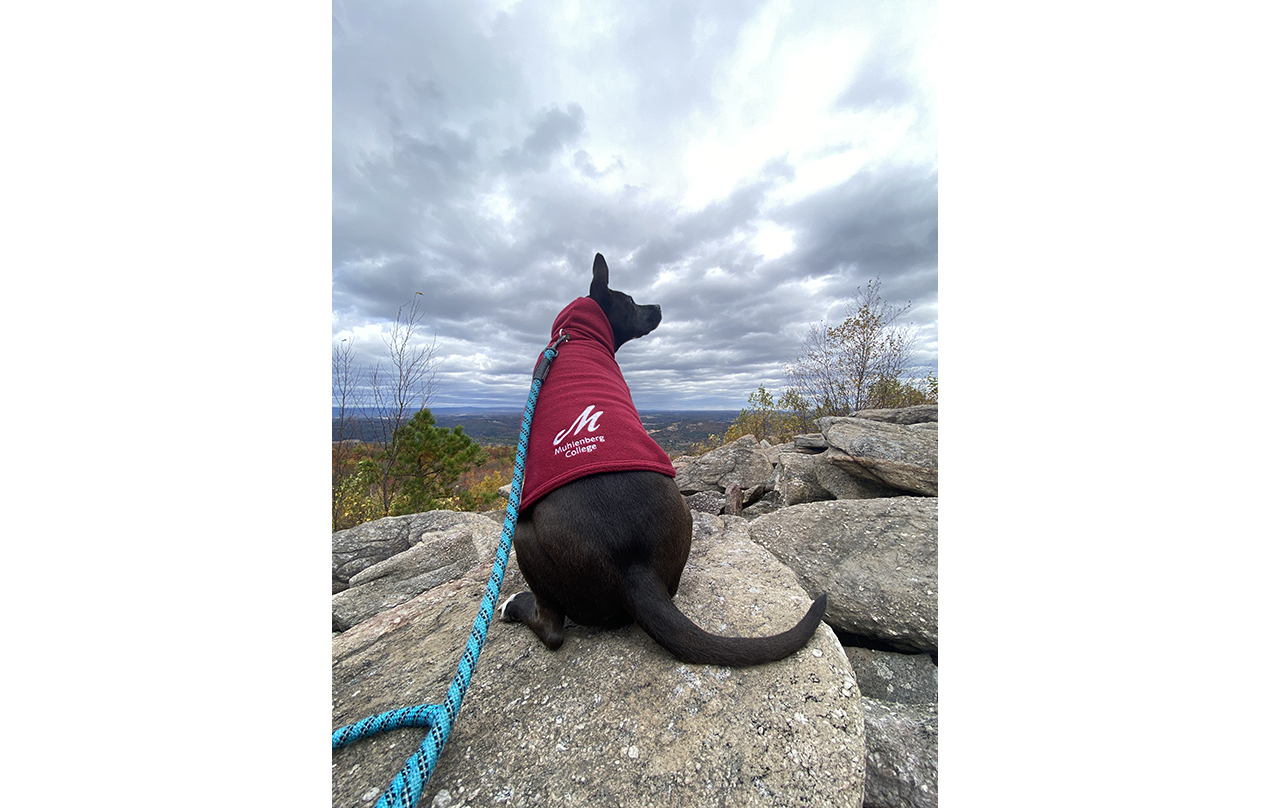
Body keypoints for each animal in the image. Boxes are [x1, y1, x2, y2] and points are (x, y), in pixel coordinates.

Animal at [500, 255, 828, 665]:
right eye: (630, 301)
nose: (658, 306)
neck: (576, 336)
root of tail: (633, 566)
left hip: (522, 536)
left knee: (553, 630)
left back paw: (513, 604)